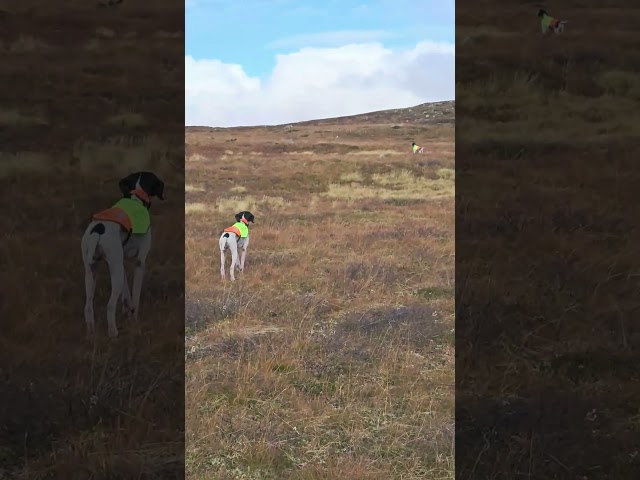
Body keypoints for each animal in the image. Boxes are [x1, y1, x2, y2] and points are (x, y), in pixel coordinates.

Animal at [81, 172, 165, 338]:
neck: (136, 196)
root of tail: (97, 231)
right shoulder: (140, 262)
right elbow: (135, 297)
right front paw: (134, 320)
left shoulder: (121, 263)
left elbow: (127, 297)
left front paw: (127, 311)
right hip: (115, 273)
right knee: (109, 306)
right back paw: (113, 332)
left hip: (92, 272)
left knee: (88, 306)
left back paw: (91, 333)